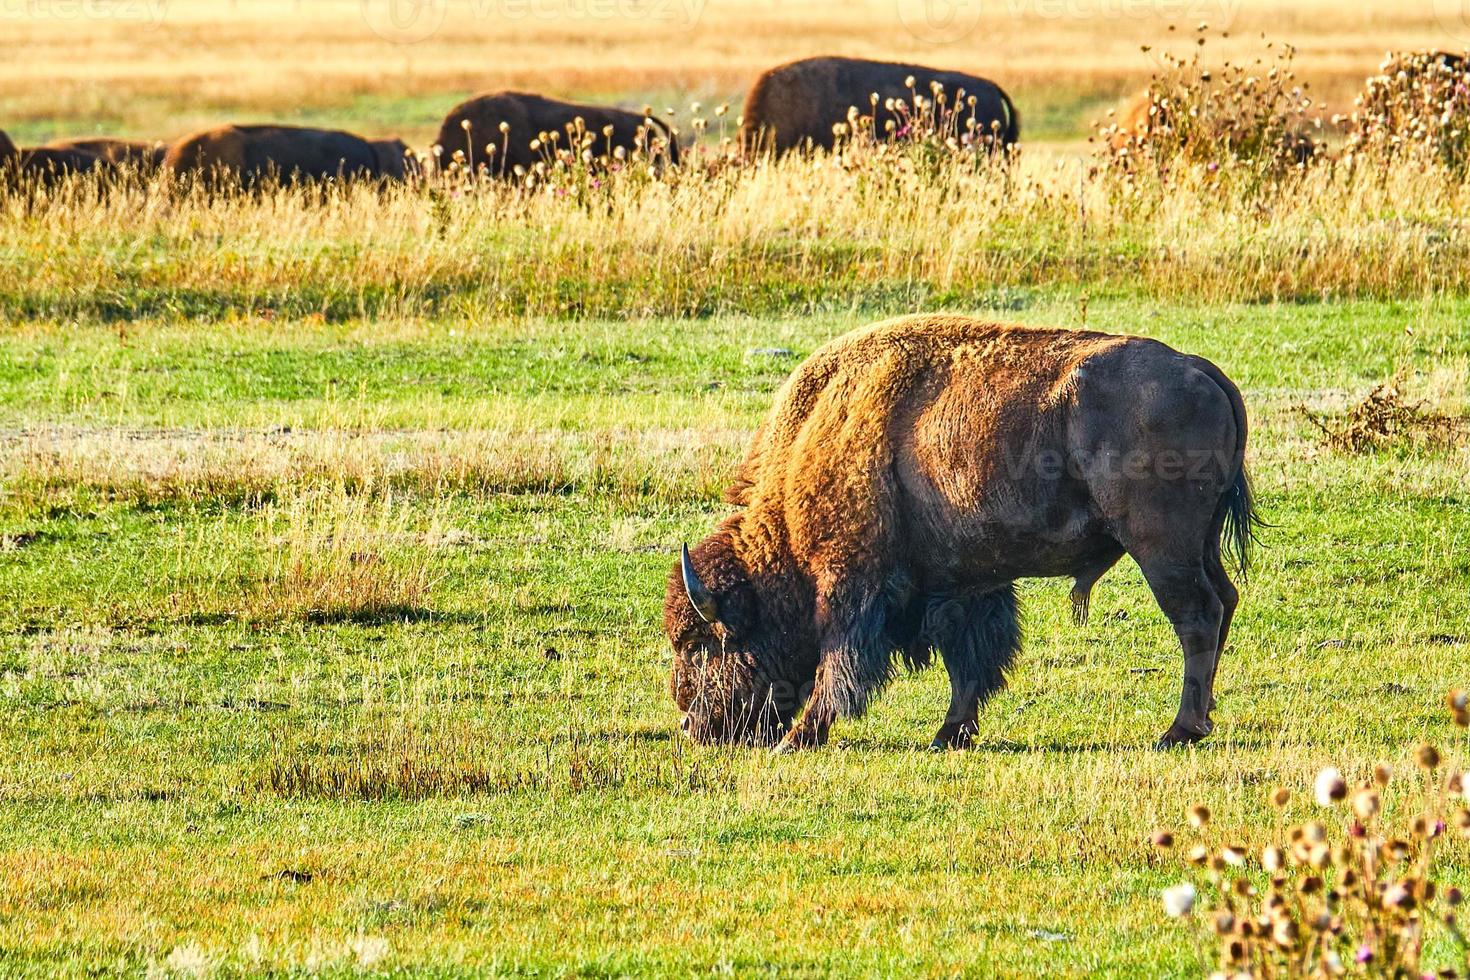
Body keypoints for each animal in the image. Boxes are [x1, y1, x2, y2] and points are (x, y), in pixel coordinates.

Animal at [673, 314, 1258, 752]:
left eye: (701, 643)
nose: (692, 725)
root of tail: (1203, 371)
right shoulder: (965, 582)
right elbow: (970, 658)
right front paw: (950, 733)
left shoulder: (850, 583)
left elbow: (841, 665)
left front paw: (798, 738)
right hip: (1199, 545)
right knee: (1224, 601)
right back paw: (1201, 719)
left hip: (1162, 549)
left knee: (1196, 616)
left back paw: (1178, 731)